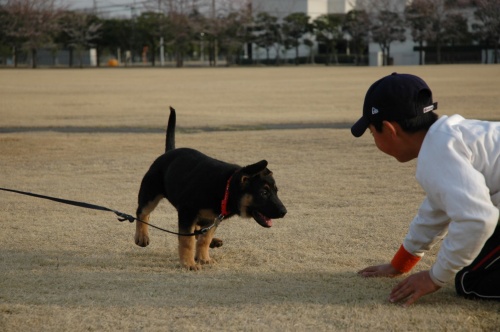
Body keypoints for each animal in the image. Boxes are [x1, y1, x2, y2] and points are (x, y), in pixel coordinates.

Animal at [135, 107, 288, 268]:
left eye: (276, 192)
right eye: (263, 192)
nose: (284, 212)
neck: (225, 188)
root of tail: (169, 152)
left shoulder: (212, 218)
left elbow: (204, 238)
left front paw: (203, 258)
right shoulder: (187, 212)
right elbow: (187, 240)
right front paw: (189, 264)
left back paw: (213, 242)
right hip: (150, 194)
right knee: (142, 213)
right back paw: (142, 236)